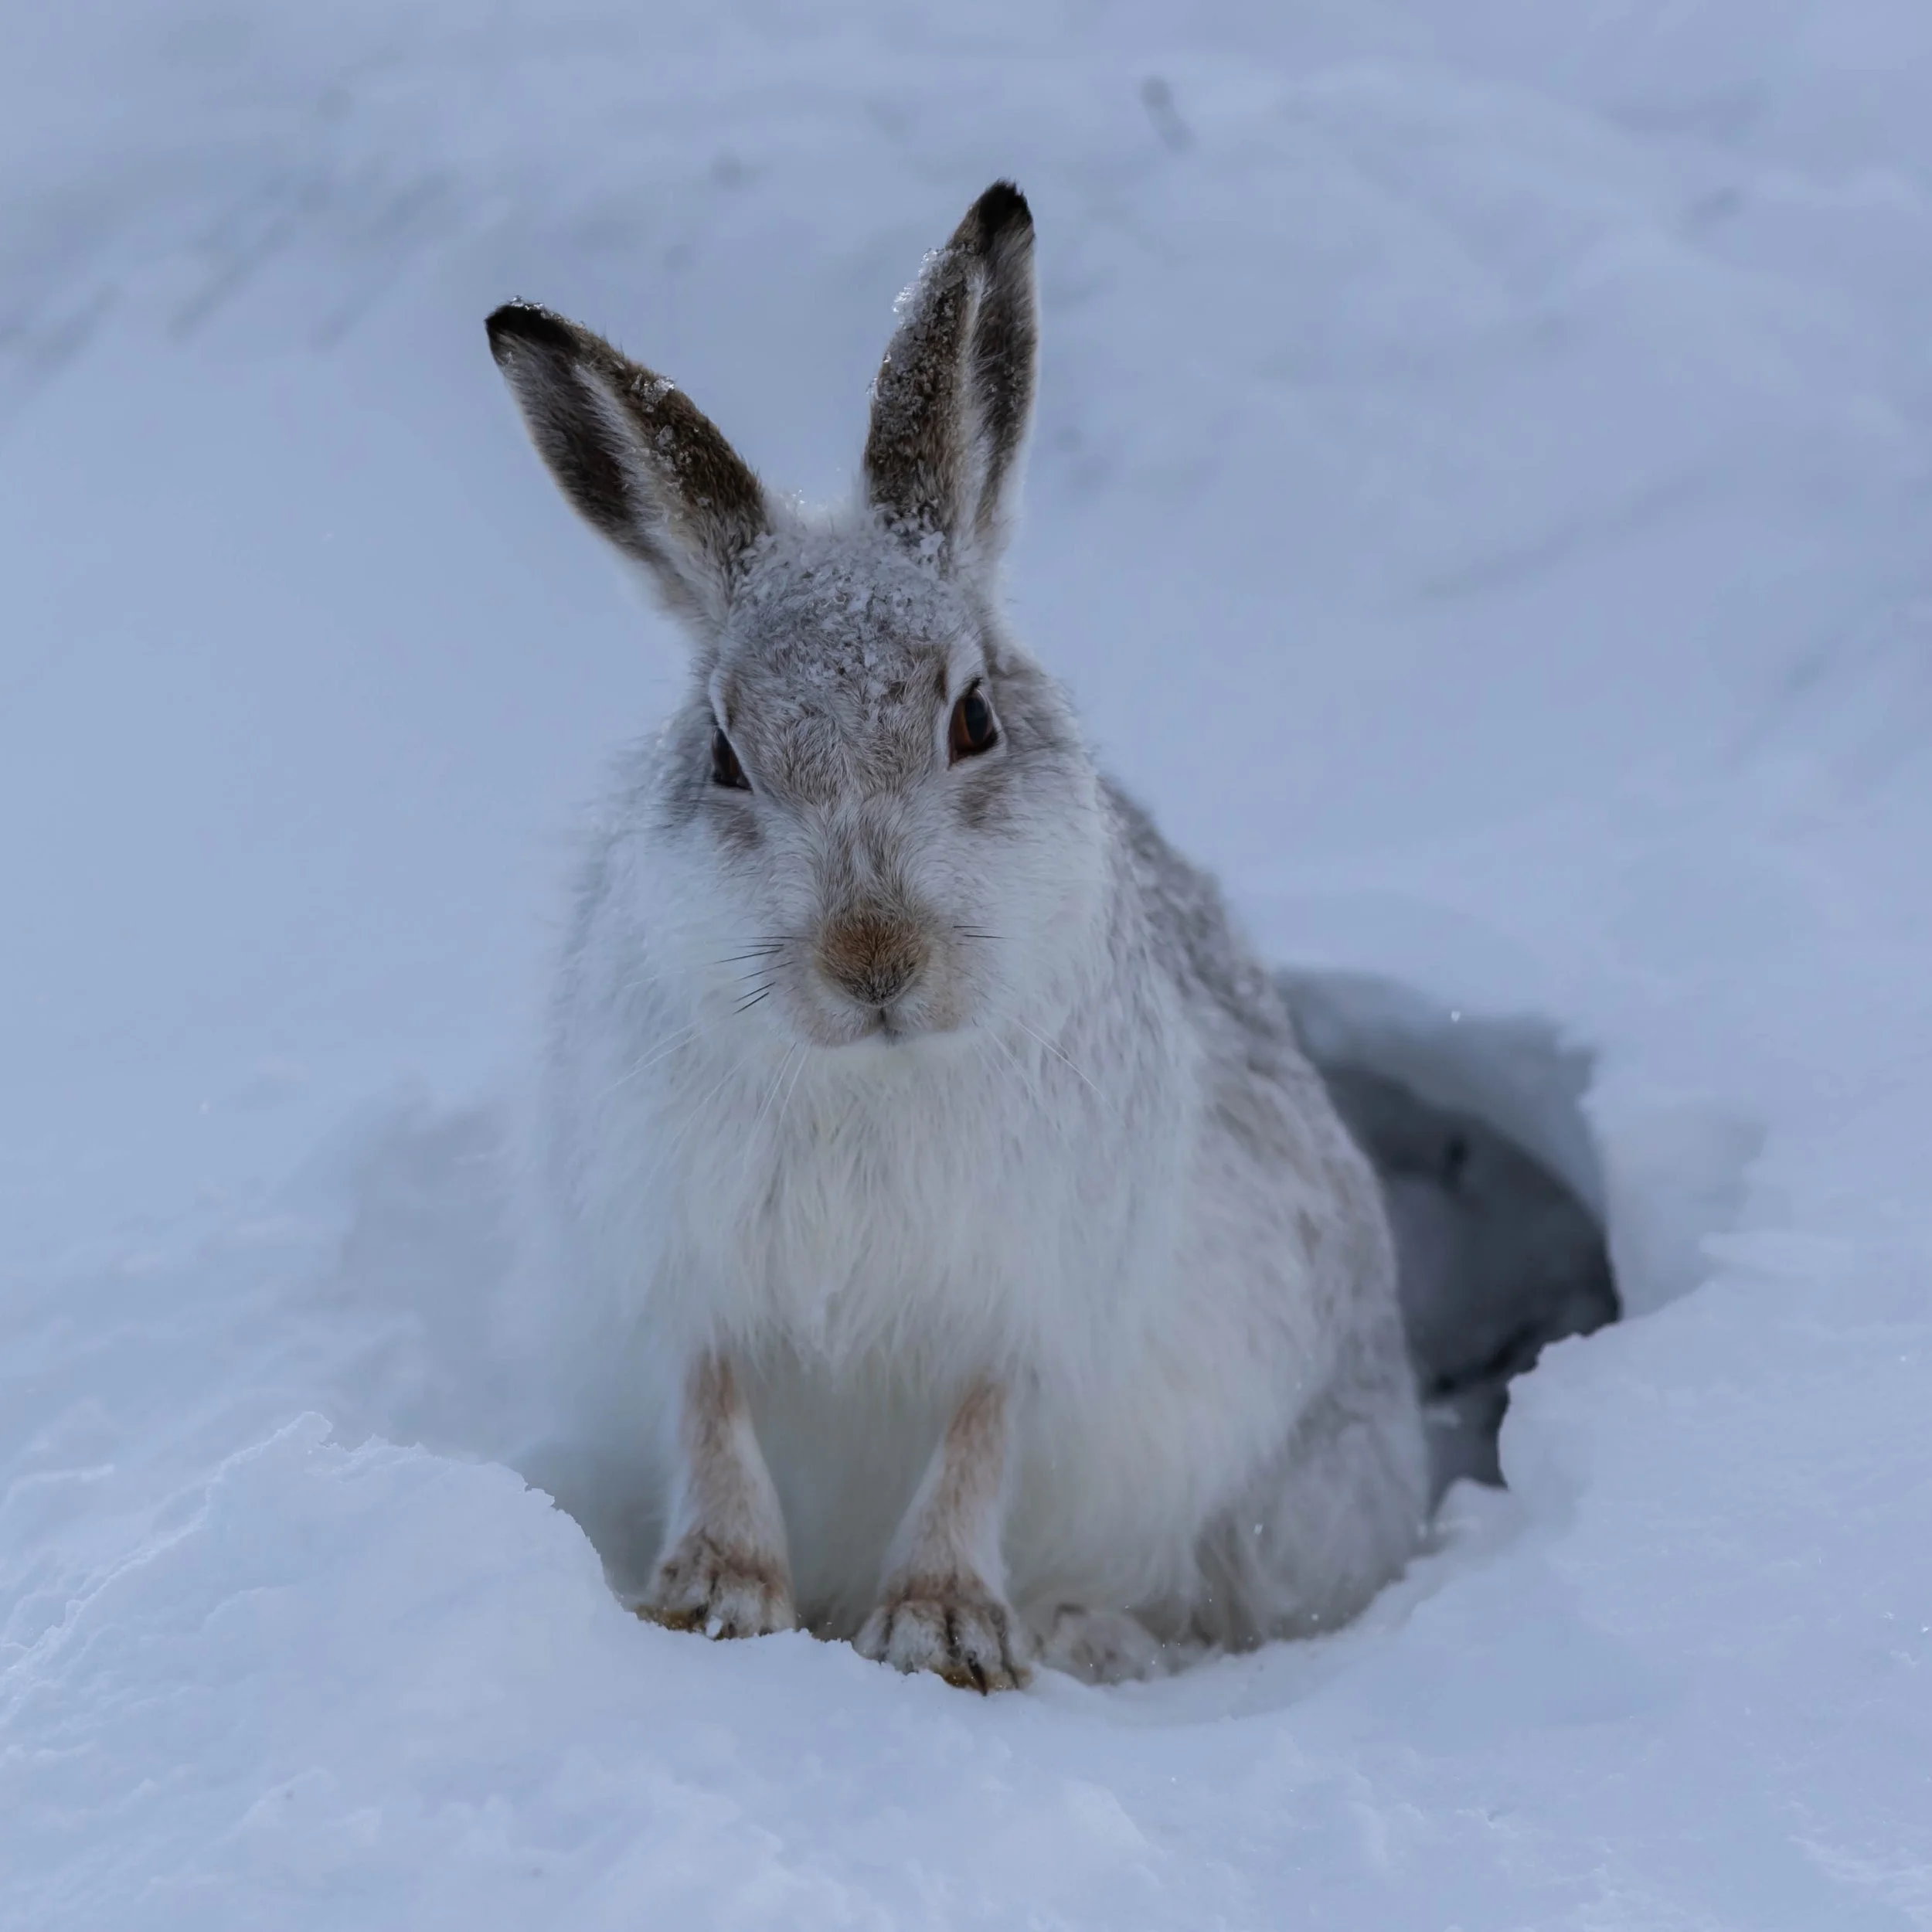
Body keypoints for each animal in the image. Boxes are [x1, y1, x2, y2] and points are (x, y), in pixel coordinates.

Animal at [486, 181, 1428, 1690]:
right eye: (726, 755)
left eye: (973, 719)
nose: (874, 963)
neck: (871, 1074)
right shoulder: (680, 1267)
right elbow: (712, 1409)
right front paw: (714, 1602)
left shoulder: (1033, 1297)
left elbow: (982, 1435)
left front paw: (937, 1634)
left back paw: (1095, 1637)